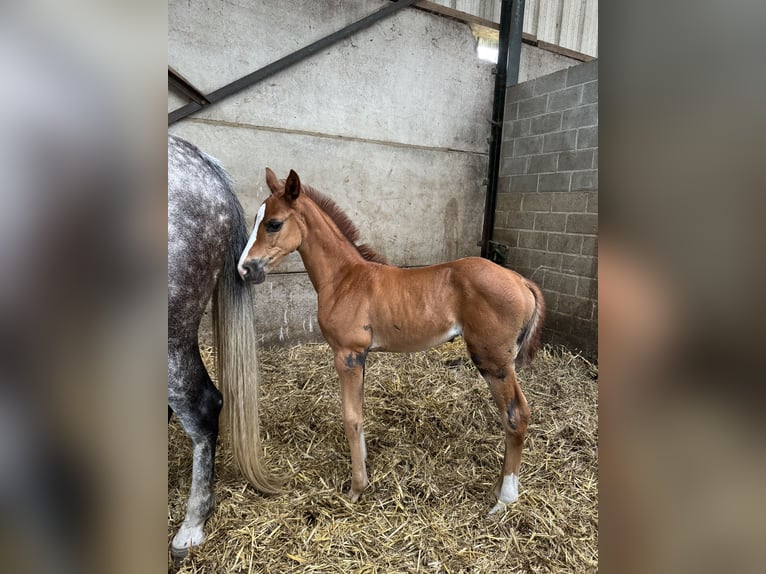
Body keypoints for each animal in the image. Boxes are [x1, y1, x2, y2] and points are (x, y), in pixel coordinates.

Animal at [237, 168, 545, 514]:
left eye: (274, 223)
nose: (244, 269)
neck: (344, 279)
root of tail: (520, 280)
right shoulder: (362, 356)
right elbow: (359, 413)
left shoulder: (347, 354)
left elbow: (351, 417)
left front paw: (357, 488)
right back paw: (497, 488)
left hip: (493, 360)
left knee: (516, 415)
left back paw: (504, 499)